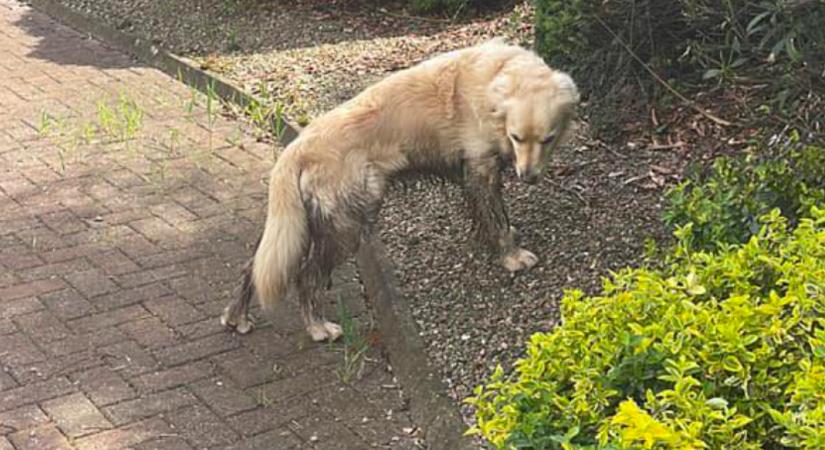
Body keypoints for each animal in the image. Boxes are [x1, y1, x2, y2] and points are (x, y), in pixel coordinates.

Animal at [220, 39, 580, 342]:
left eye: (547, 139)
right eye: (517, 137)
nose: (528, 176)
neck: (496, 79)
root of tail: (297, 147)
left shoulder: (475, 175)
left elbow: (486, 219)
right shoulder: (482, 170)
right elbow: (498, 221)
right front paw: (512, 257)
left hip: (301, 226)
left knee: (254, 265)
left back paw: (237, 317)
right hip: (347, 227)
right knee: (306, 277)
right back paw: (318, 327)